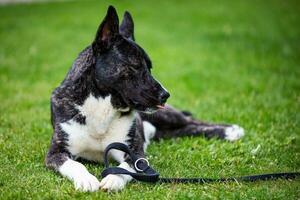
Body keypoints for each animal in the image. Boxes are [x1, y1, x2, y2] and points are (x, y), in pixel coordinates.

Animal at [45, 5, 245, 191]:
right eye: (135, 66)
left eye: (149, 67)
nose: (165, 95)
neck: (103, 106)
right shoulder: (56, 153)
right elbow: (74, 164)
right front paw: (85, 179)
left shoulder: (136, 154)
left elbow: (126, 167)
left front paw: (114, 179)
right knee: (187, 129)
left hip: (166, 116)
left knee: (192, 121)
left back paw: (231, 131)